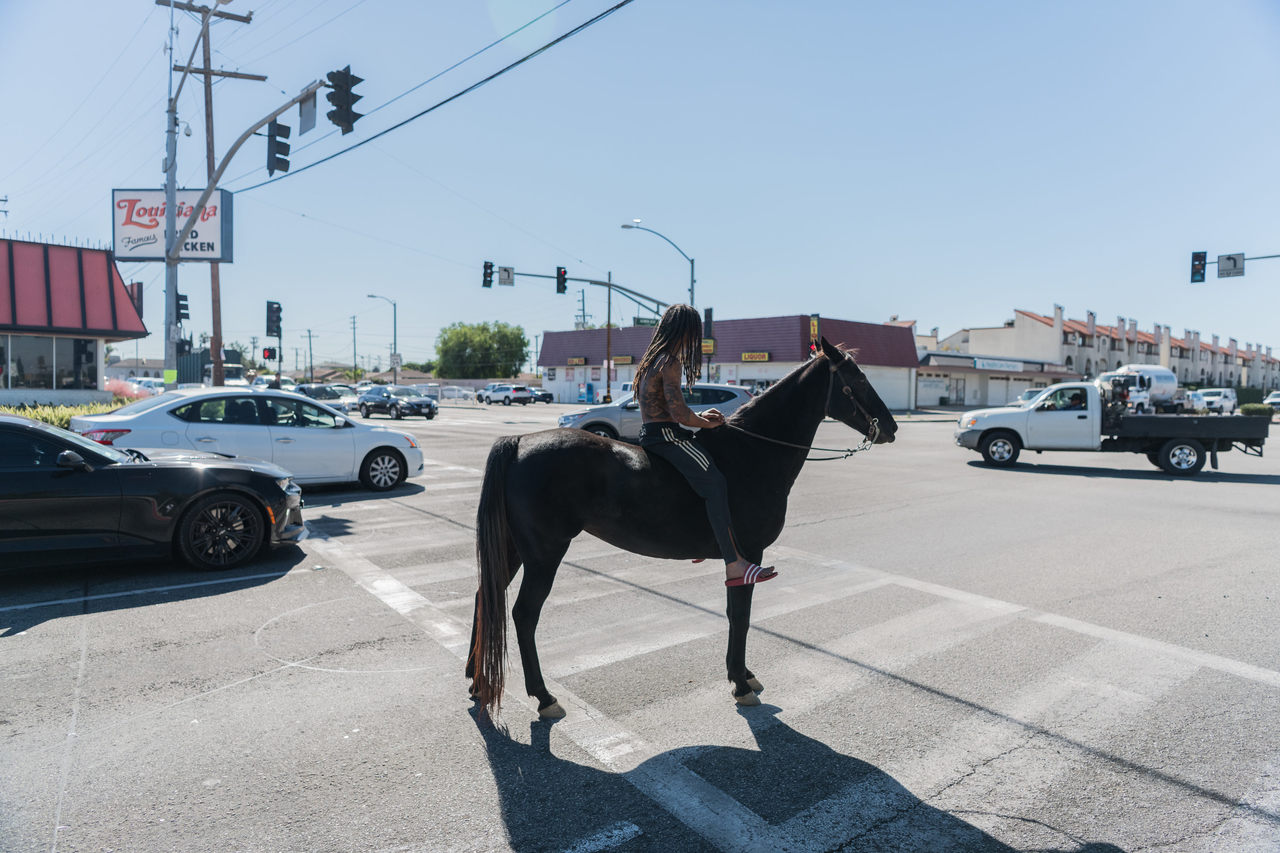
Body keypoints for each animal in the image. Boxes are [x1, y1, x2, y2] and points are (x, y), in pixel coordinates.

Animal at [471, 335, 901, 712]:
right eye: (859, 380)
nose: (893, 427)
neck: (754, 451)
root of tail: (520, 442)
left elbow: (735, 614)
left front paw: (742, 673)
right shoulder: (747, 554)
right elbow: (740, 616)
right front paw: (740, 683)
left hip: (515, 549)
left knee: (485, 597)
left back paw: (478, 682)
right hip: (544, 554)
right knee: (524, 615)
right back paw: (543, 696)